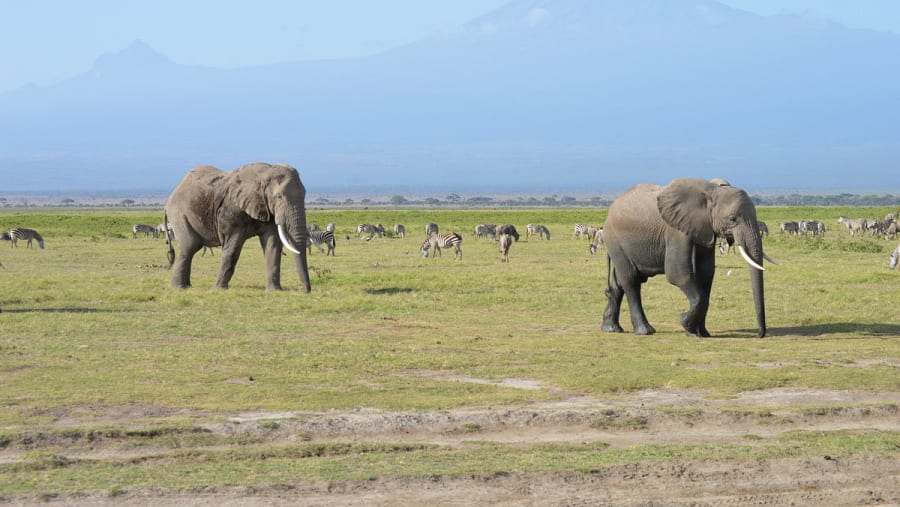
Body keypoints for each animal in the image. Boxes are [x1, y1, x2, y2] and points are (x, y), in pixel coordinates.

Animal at [165, 162, 311, 292]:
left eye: (305, 194)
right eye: (279, 197)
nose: (307, 290)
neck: (265, 173)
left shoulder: (267, 209)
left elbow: (273, 245)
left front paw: (275, 291)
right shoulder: (231, 211)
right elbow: (232, 248)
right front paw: (218, 289)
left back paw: (187, 286)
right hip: (179, 213)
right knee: (190, 246)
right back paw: (179, 288)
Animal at [600, 178, 773, 338]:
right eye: (732, 219)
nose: (760, 334)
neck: (712, 191)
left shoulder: (705, 229)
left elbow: (706, 275)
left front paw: (701, 333)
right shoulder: (676, 231)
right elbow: (678, 274)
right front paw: (685, 322)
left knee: (620, 282)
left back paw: (611, 329)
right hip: (614, 240)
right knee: (631, 280)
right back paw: (645, 331)